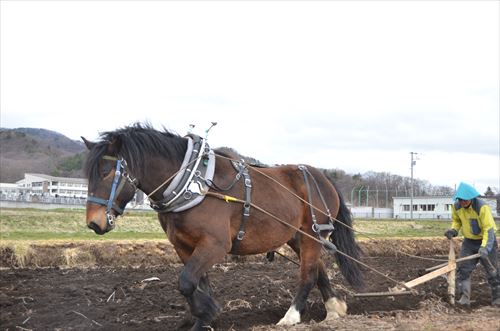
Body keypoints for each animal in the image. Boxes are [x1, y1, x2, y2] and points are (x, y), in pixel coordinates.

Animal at [82, 123, 364, 330]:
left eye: (107, 172)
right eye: (89, 174)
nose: (94, 223)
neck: (192, 183)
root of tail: (321, 176)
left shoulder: (216, 244)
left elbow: (186, 281)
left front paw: (206, 314)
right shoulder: (184, 246)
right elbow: (196, 283)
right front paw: (202, 316)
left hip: (312, 233)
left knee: (307, 274)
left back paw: (291, 316)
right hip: (296, 235)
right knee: (317, 268)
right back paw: (334, 308)